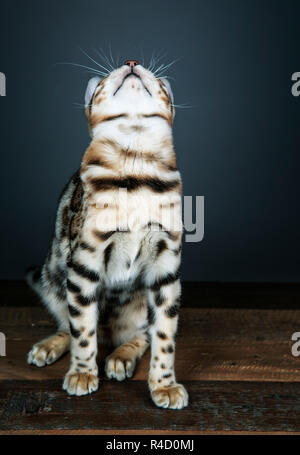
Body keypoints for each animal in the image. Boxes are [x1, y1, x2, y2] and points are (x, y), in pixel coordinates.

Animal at [27, 59, 188, 410]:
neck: (136, 168)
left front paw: (164, 384)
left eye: (157, 80)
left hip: (139, 306)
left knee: (141, 334)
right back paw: (50, 346)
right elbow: (83, 328)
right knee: (70, 322)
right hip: (52, 279)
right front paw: (82, 373)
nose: (131, 62)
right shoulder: (84, 262)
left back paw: (121, 356)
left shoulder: (166, 269)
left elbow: (165, 335)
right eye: (104, 81)